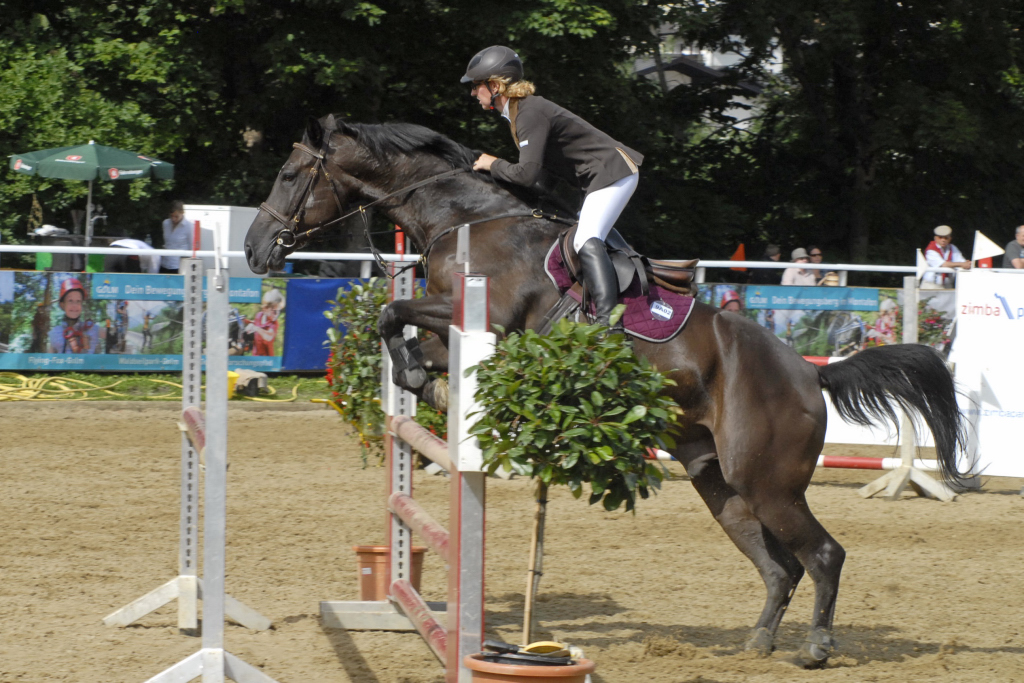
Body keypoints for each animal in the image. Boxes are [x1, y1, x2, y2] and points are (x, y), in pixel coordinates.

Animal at [244, 113, 968, 668]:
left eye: (290, 175)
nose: (254, 251)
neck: (465, 219)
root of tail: (809, 372)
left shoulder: (481, 317)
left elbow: (391, 314)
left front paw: (429, 386)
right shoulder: (459, 329)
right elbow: (397, 331)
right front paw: (425, 386)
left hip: (768, 481)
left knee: (821, 553)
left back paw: (815, 648)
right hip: (717, 480)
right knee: (779, 566)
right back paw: (757, 643)